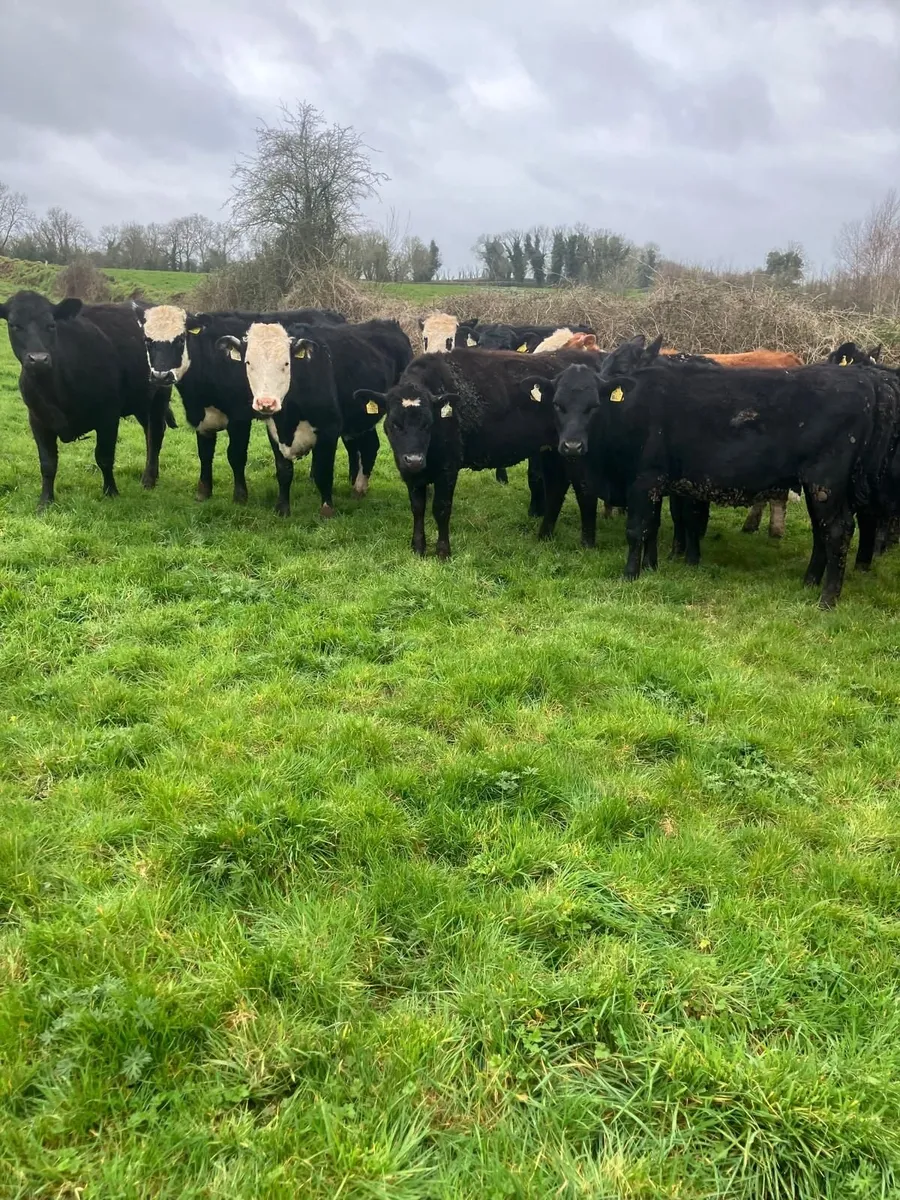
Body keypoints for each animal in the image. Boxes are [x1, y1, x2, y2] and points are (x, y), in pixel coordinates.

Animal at [0, 290, 173, 508]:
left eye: (51, 325)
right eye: (14, 325)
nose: (38, 360)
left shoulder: (108, 415)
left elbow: (104, 456)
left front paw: (111, 492)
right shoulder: (37, 419)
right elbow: (48, 463)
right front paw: (45, 501)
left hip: (160, 393)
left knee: (156, 433)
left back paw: (149, 479)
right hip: (141, 400)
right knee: (149, 432)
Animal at [135, 303, 347, 503]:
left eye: (179, 339)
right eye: (147, 340)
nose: (161, 376)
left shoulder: (240, 417)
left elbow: (236, 455)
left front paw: (240, 496)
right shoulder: (202, 418)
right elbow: (205, 453)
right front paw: (203, 492)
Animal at [214, 317, 412, 517]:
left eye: (286, 364)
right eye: (248, 363)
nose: (266, 402)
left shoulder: (329, 430)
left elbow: (323, 472)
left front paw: (327, 510)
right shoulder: (274, 430)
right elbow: (284, 471)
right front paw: (282, 508)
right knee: (370, 446)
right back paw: (359, 489)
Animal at [531, 356, 899, 607]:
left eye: (593, 406)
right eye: (558, 405)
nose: (572, 446)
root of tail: (864, 379)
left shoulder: (645, 479)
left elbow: (637, 530)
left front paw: (630, 574)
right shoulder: (656, 485)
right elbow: (652, 527)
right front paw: (651, 567)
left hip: (826, 482)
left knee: (837, 531)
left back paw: (827, 598)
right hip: (817, 486)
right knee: (823, 533)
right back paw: (809, 581)